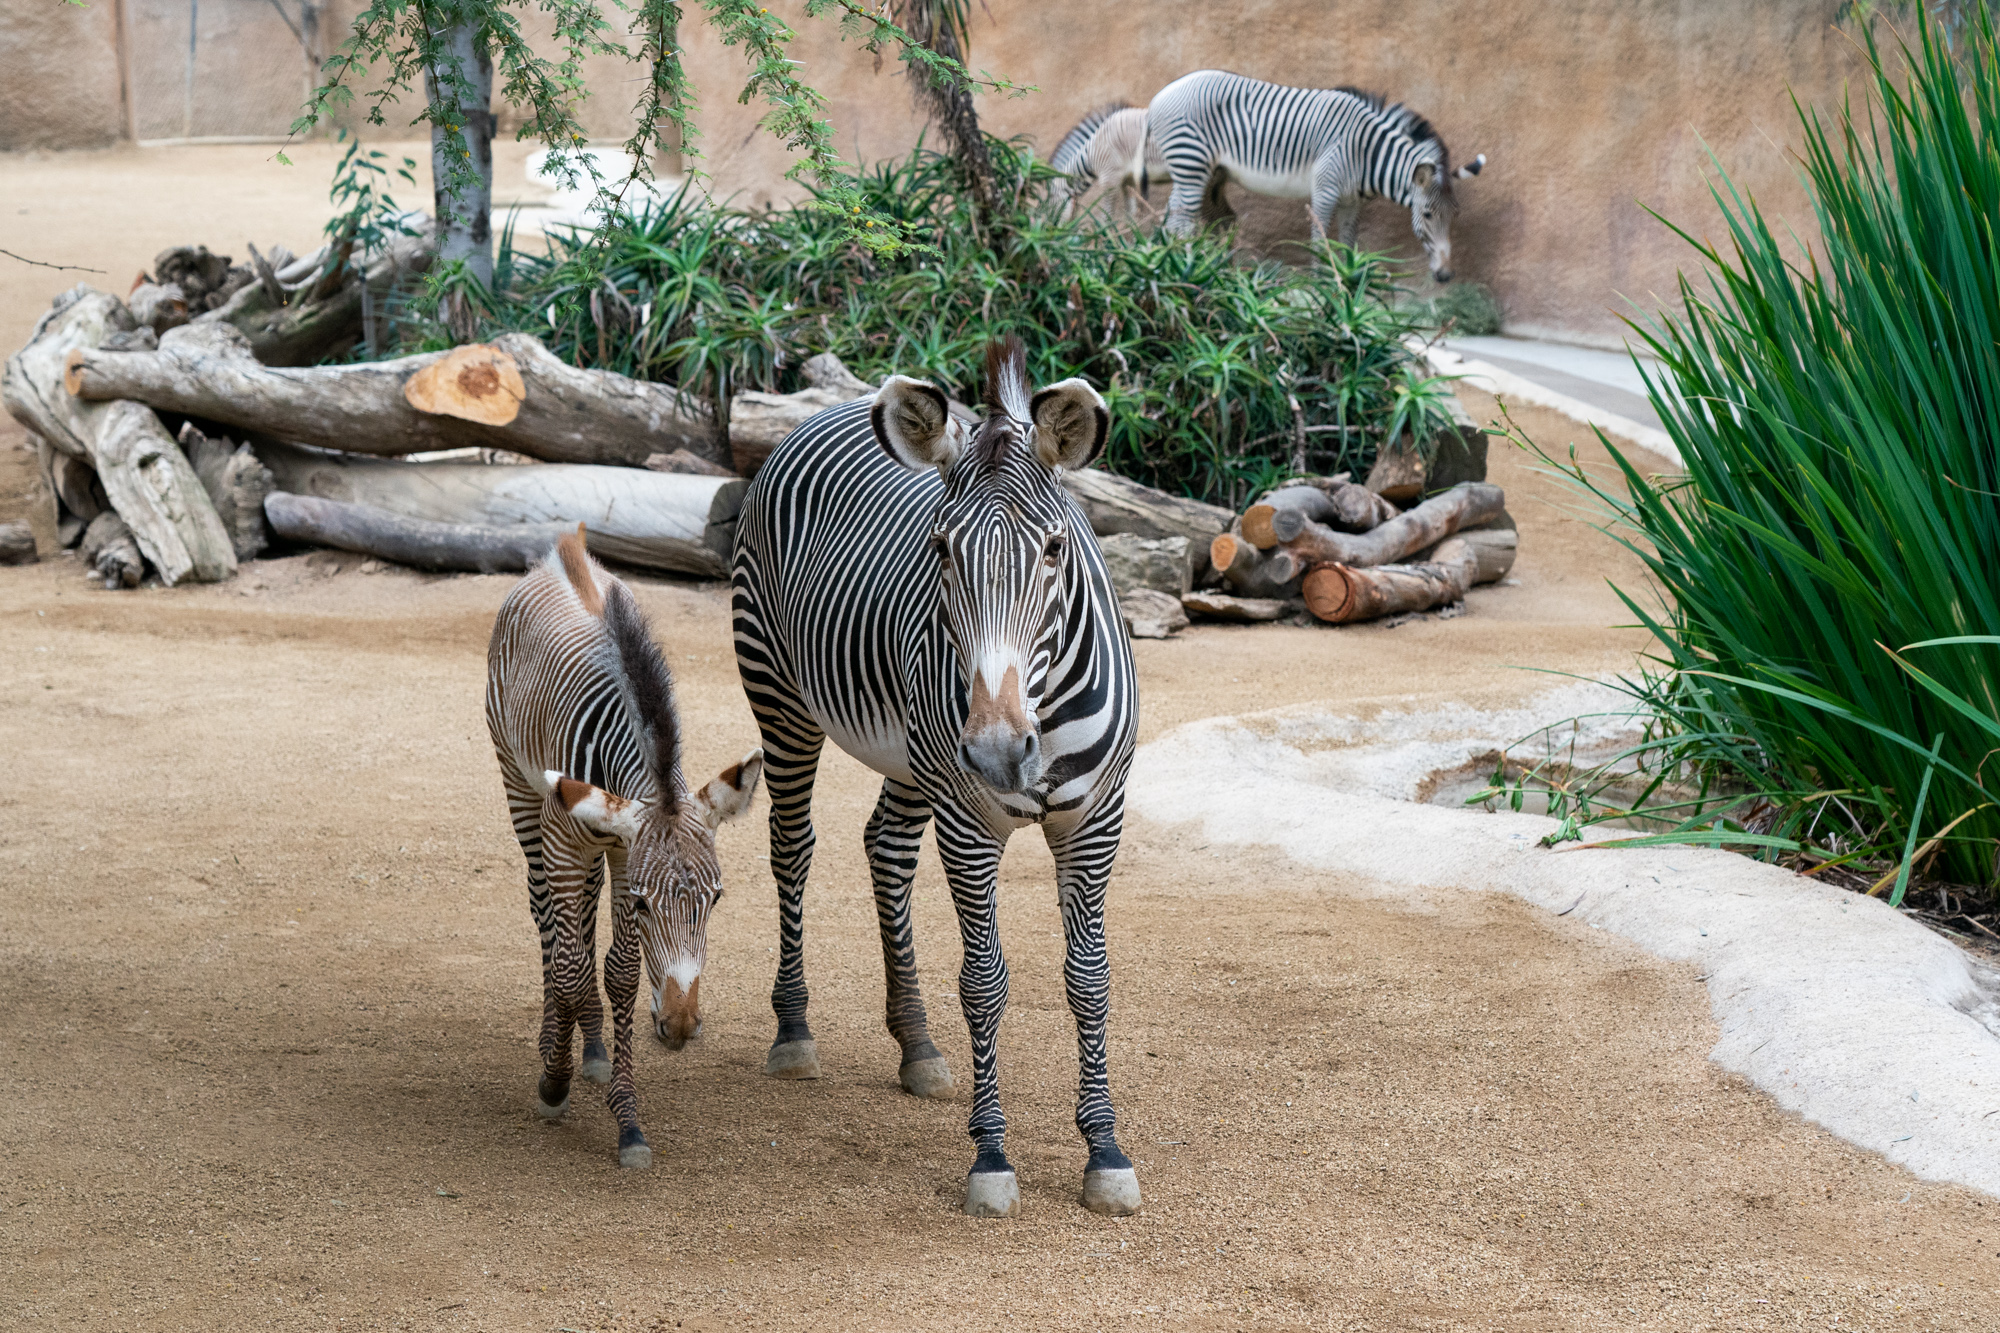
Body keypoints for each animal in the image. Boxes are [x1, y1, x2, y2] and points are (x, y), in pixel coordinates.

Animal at [486, 524, 764, 1168]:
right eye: (642, 903)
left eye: (716, 900)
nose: (682, 1027)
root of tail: (566, 553)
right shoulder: (570, 839)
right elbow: (568, 965)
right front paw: (554, 1080)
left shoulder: (620, 848)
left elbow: (620, 974)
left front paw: (627, 1117)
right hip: (520, 789)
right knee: (547, 918)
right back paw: (557, 1040)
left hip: (596, 846)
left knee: (582, 922)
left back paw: (590, 1045)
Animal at [736, 334, 1144, 1216]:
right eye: (941, 550)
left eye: (1054, 549)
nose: (995, 751)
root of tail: (833, 404)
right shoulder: (969, 820)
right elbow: (985, 981)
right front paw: (991, 1156)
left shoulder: (1096, 819)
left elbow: (1090, 978)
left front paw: (1104, 1149)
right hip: (781, 697)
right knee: (792, 847)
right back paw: (794, 1030)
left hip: (912, 754)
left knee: (885, 847)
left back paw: (917, 1043)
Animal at [1144, 69, 1488, 280]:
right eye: (1427, 215)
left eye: (1455, 215)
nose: (1445, 276)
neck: (1366, 152)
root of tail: (1161, 94)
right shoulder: (1325, 191)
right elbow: (1320, 243)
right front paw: (1323, 291)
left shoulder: (1352, 202)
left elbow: (1348, 245)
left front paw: (1349, 287)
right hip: (1191, 162)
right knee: (1181, 217)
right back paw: (1181, 268)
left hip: (1207, 171)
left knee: (1180, 213)